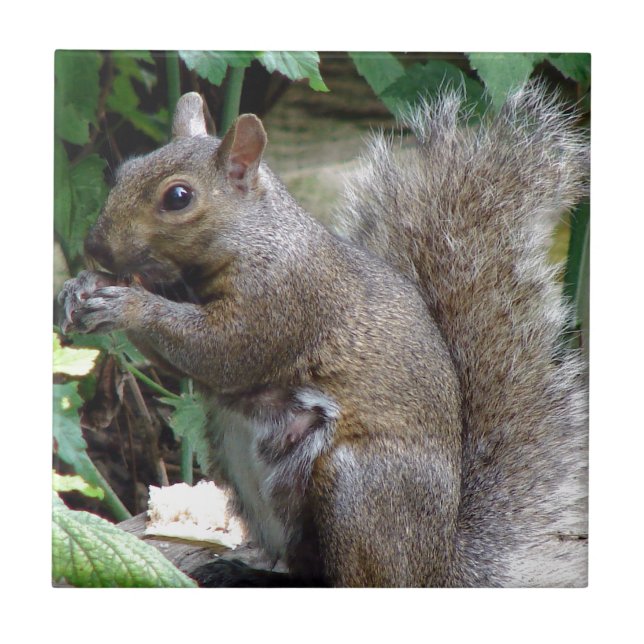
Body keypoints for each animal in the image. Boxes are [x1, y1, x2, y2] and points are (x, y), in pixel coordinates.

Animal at [58, 83, 589, 587]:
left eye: (178, 197)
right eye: (125, 170)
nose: (93, 246)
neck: (255, 238)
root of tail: (437, 565)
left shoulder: (286, 299)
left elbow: (222, 352)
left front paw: (128, 304)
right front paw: (81, 286)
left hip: (356, 489)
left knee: (357, 579)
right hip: (245, 469)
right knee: (306, 569)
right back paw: (245, 573)